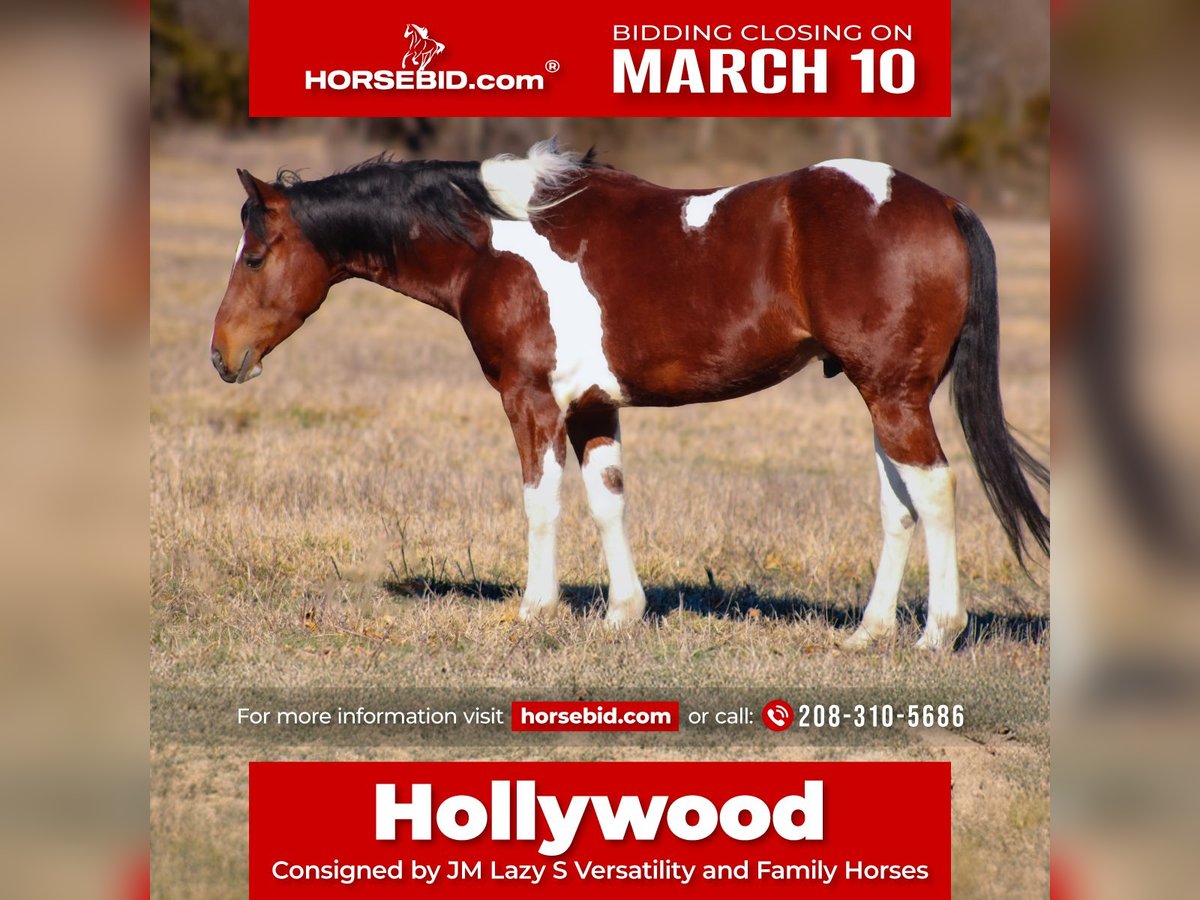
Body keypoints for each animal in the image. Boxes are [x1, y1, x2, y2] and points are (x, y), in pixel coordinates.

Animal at [211, 137, 1046, 652]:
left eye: (255, 256)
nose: (222, 355)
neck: (494, 241)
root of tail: (941, 204)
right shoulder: (592, 405)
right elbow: (607, 501)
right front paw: (621, 613)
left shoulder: (532, 399)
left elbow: (541, 501)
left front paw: (536, 609)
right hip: (882, 396)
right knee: (897, 505)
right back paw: (870, 631)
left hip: (896, 396)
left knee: (933, 491)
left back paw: (939, 631)